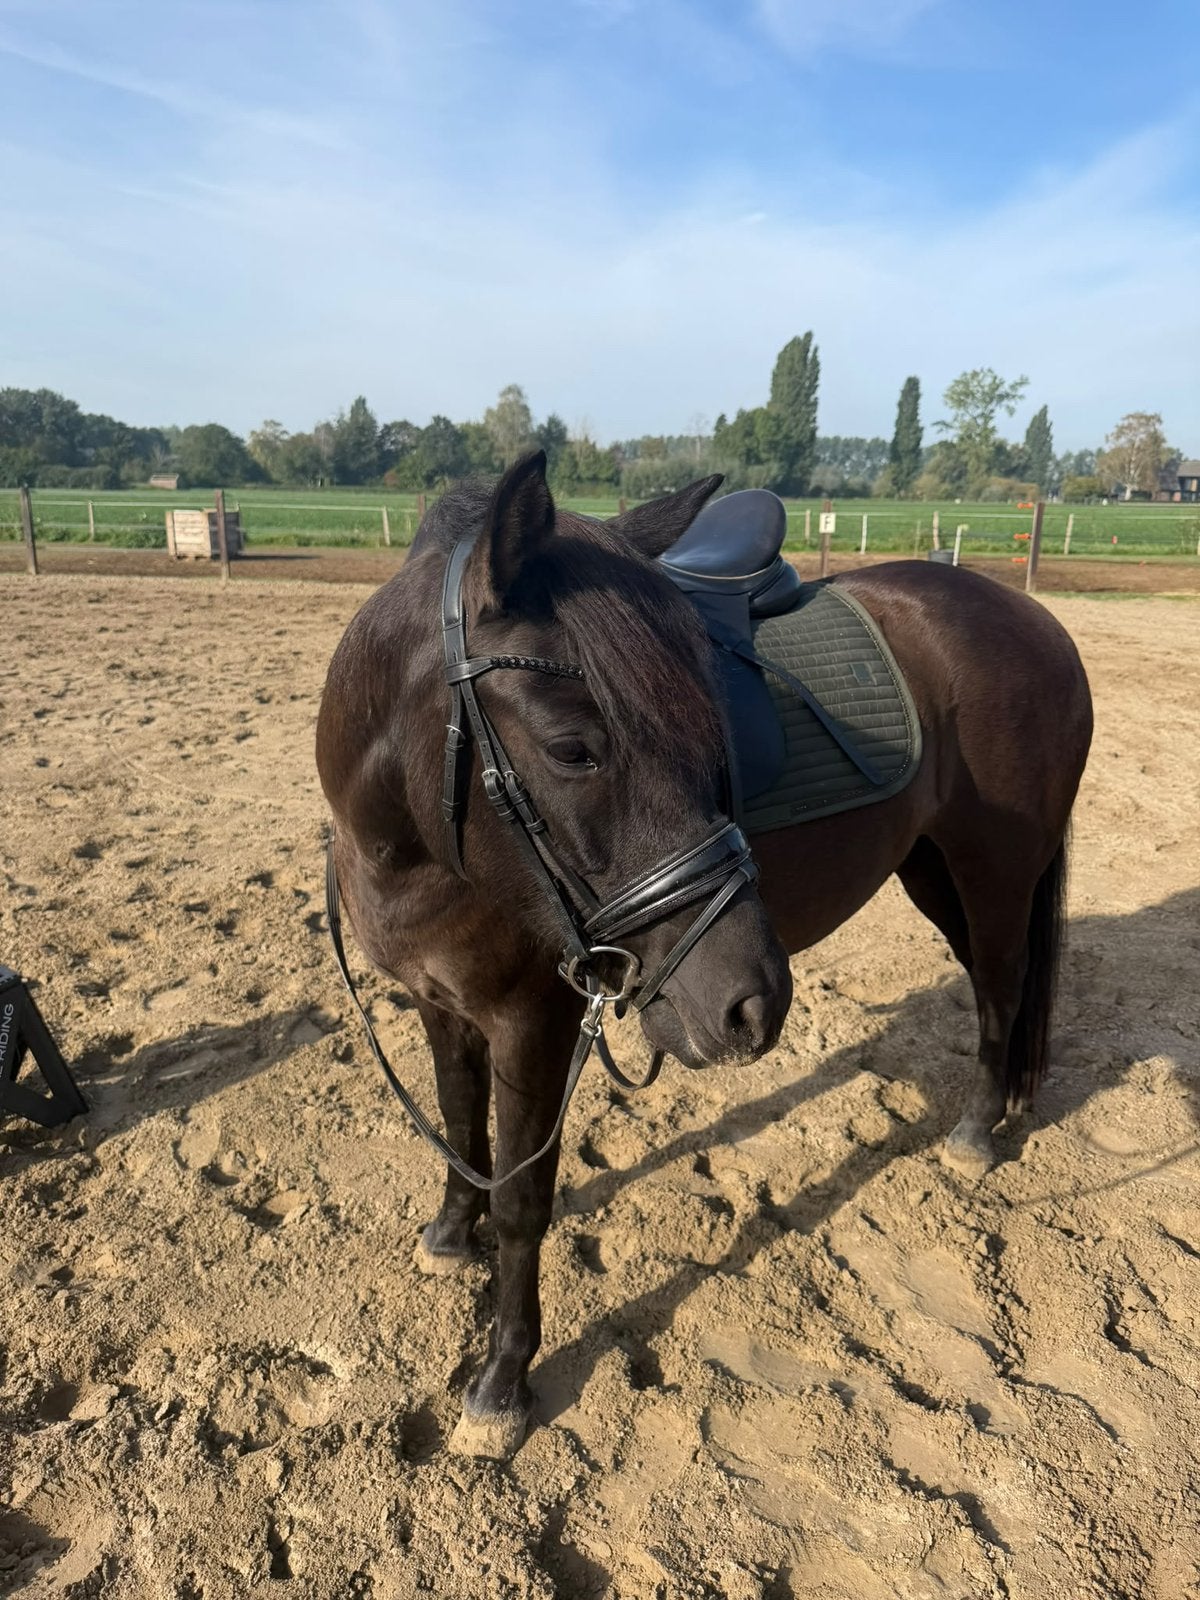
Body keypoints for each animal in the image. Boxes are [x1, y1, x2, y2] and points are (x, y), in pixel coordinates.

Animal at [316, 451, 1093, 1458]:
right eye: (572, 748)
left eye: (708, 724)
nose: (753, 1002)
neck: (416, 844)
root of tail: (1036, 620)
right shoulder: (439, 1002)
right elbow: (457, 1122)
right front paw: (452, 1235)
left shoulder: (533, 1023)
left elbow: (525, 1200)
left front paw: (501, 1382)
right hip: (932, 869)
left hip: (992, 871)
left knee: (1001, 986)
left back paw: (972, 1133)